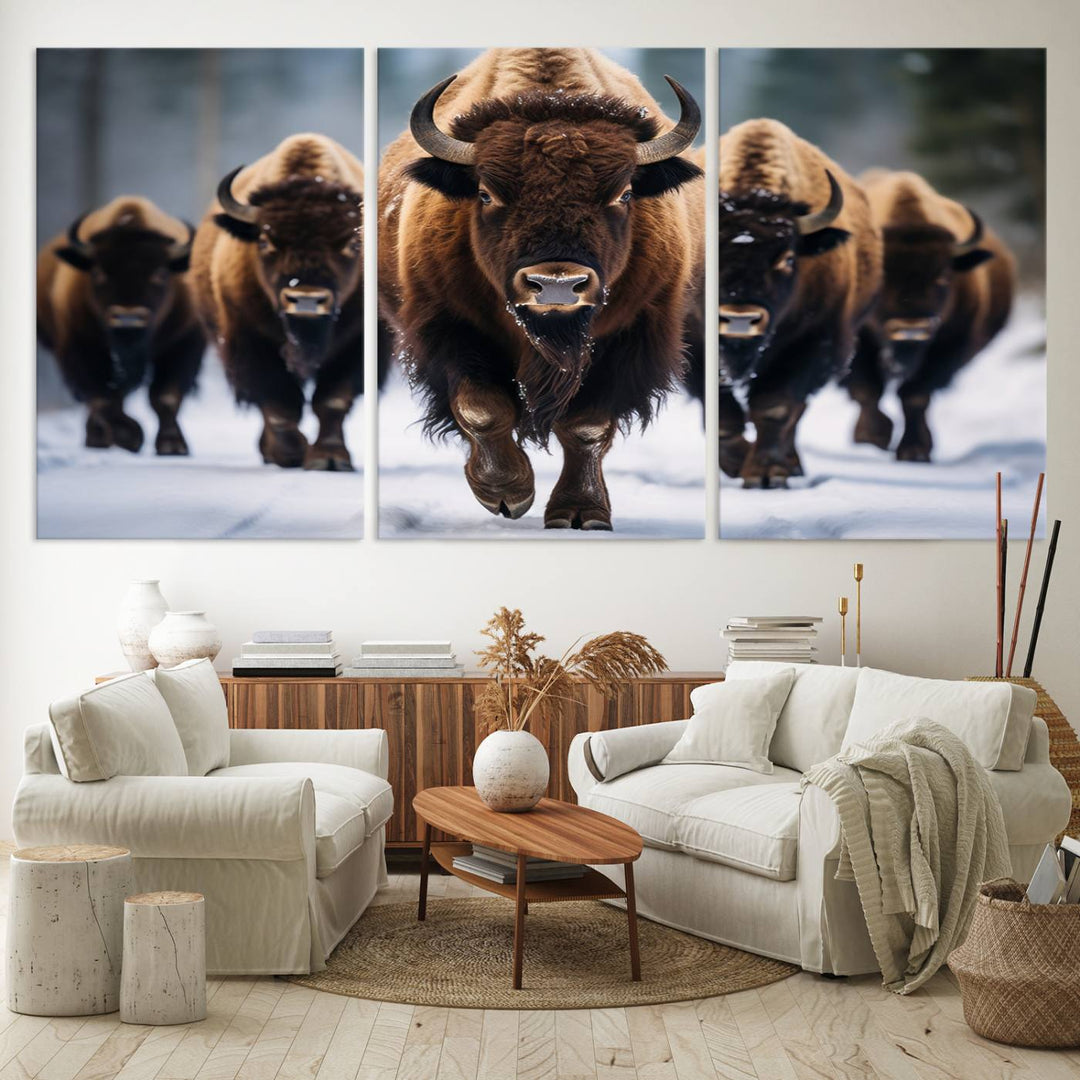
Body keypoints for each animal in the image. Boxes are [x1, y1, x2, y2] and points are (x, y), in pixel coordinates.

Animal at [36, 198, 203, 455]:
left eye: (160, 273)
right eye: (98, 273)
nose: (128, 319)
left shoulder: (183, 342)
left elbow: (165, 396)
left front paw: (172, 445)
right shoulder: (80, 347)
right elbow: (103, 397)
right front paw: (130, 436)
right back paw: (98, 439)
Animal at [195, 131, 375, 468]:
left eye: (353, 243)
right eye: (265, 240)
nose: (305, 299)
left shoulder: (357, 343)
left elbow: (332, 399)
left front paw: (329, 458)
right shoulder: (251, 340)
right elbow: (279, 403)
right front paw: (291, 454)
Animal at [375, 48, 704, 529]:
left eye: (624, 194)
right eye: (486, 193)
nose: (556, 285)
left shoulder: (631, 336)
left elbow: (587, 426)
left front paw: (581, 512)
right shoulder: (449, 327)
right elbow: (481, 408)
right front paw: (506, 493)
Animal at [704, 120, 881, 488]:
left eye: (787, 258)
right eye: (709, 251)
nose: (740, 319)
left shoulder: (811, 343)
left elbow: (776, 407)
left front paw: (766, 474)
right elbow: (724, 416)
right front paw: (738, 463)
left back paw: (791, 464)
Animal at [842, 167, 1010, 460]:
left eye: (942, 277)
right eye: (882, 277)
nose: (912, 328)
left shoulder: (946, 348)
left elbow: (915, 396)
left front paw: (915, 450)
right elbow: (867, 390)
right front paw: (871, 438)